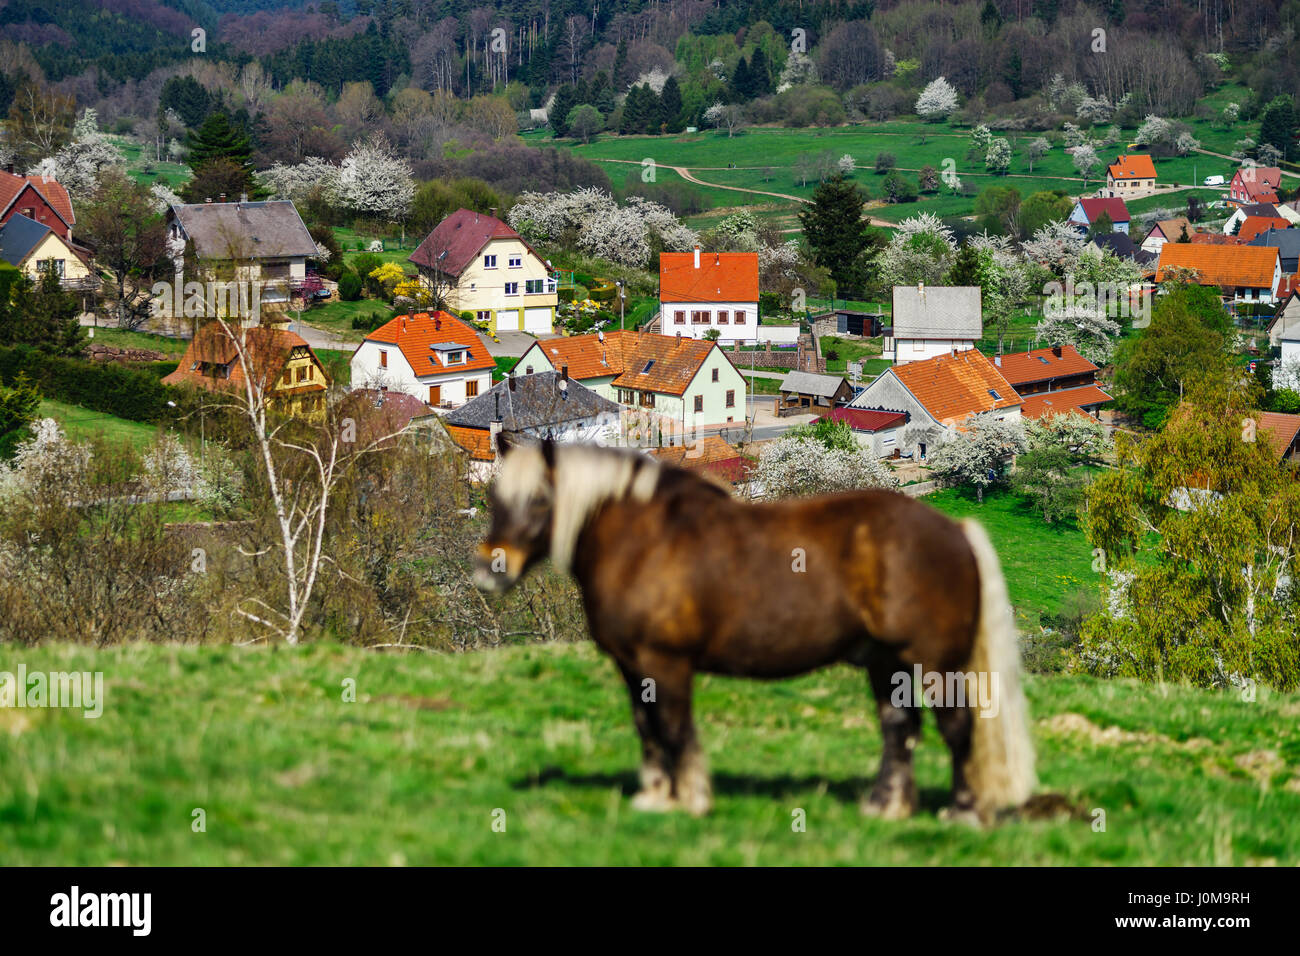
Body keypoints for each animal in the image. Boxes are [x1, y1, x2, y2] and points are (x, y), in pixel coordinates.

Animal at [473, 437, 1036, 823]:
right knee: (900, 729)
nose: (490, 571)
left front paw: (690, 799)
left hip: (935, 664)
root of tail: (953, 530)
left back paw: (962, 812)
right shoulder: (633, 668)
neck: (643, 541)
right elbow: (647, 729)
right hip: (886, 664)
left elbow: (673, 728)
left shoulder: (665, 664)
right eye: (496, 498)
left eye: (541, 500)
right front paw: (655, 796)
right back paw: (883, 807)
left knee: (956, 727)